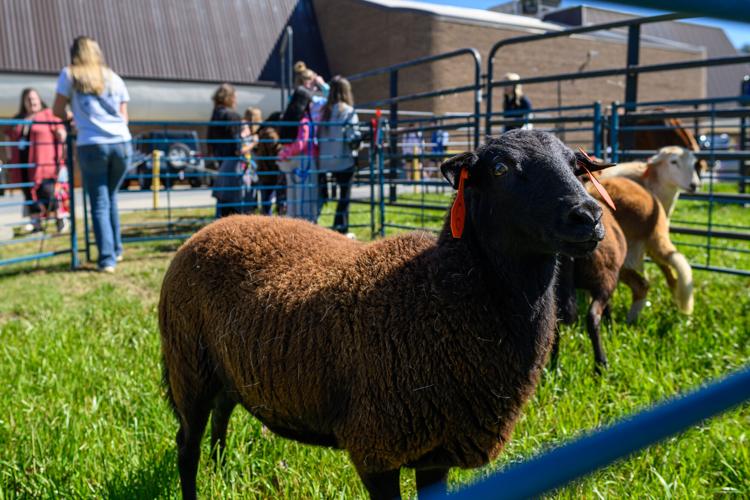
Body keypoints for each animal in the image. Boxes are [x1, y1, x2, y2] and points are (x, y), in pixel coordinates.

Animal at [159, 129, 607, 500]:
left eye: (576, 166)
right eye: (500, 168)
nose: (588, 216)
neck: (438, 293)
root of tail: (216, 226)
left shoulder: (436, 450)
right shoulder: (376, 446)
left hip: (225, 367)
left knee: (222, 414)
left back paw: (220, 470)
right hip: (188, 364)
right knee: (187, 443)